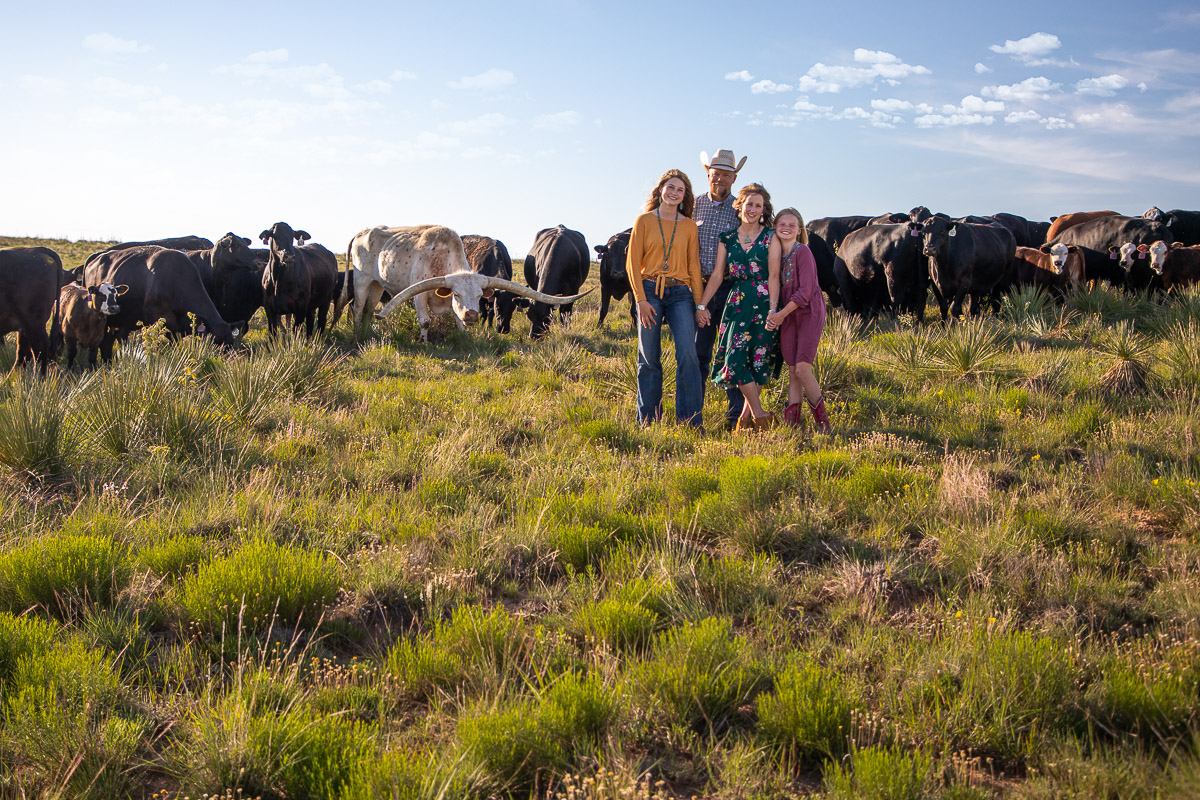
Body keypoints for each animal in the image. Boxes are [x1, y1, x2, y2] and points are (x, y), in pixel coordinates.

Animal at [343, 224, 590, 343]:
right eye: (458, 294)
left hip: (377, 285)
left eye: (480, 296)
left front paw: (465, 337)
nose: (472, 314)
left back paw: (367, 331)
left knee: (368, 310)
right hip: (362, 281)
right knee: (357, 309)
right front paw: (424, 341)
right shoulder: (419, 296)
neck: (440, 257)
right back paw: (356, 334)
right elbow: (425, 321)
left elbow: (459, 323)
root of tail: (362, 232)